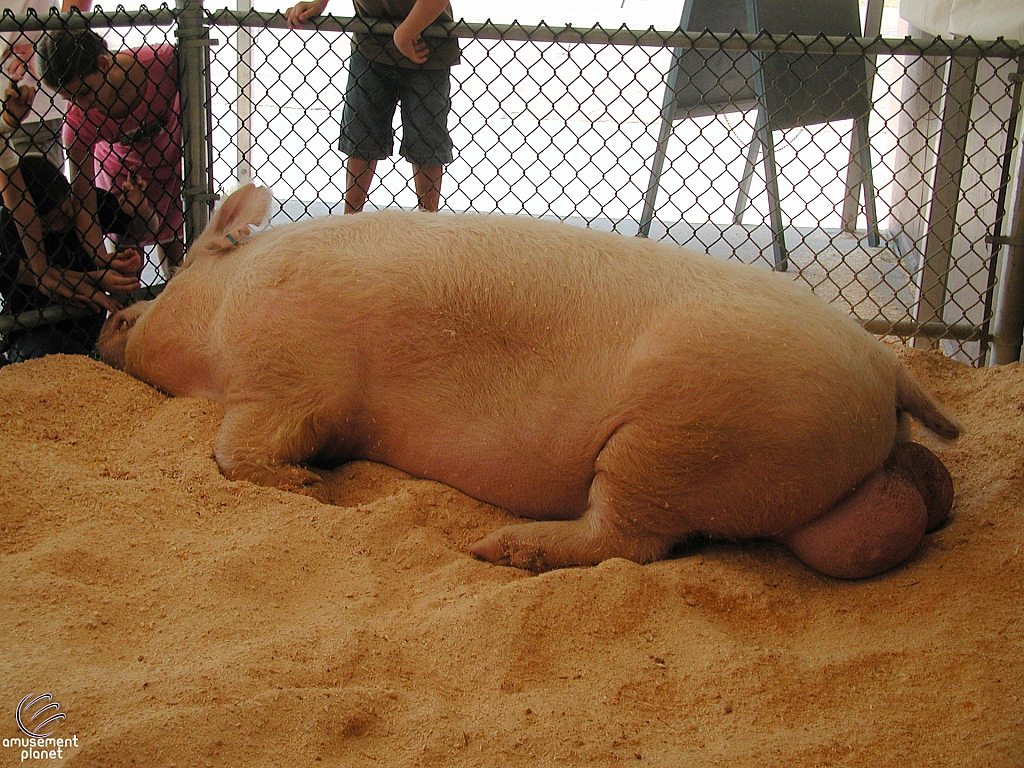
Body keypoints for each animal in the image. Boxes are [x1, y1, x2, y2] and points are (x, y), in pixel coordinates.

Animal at [96, 186, 958, 581]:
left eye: (159, 286)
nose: (108, 319)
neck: (224, 309)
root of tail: (886, 367)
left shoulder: (284, 372)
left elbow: (237, 452)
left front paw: (313, 489)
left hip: (676, 438)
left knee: (626, 541)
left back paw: (494, 548)